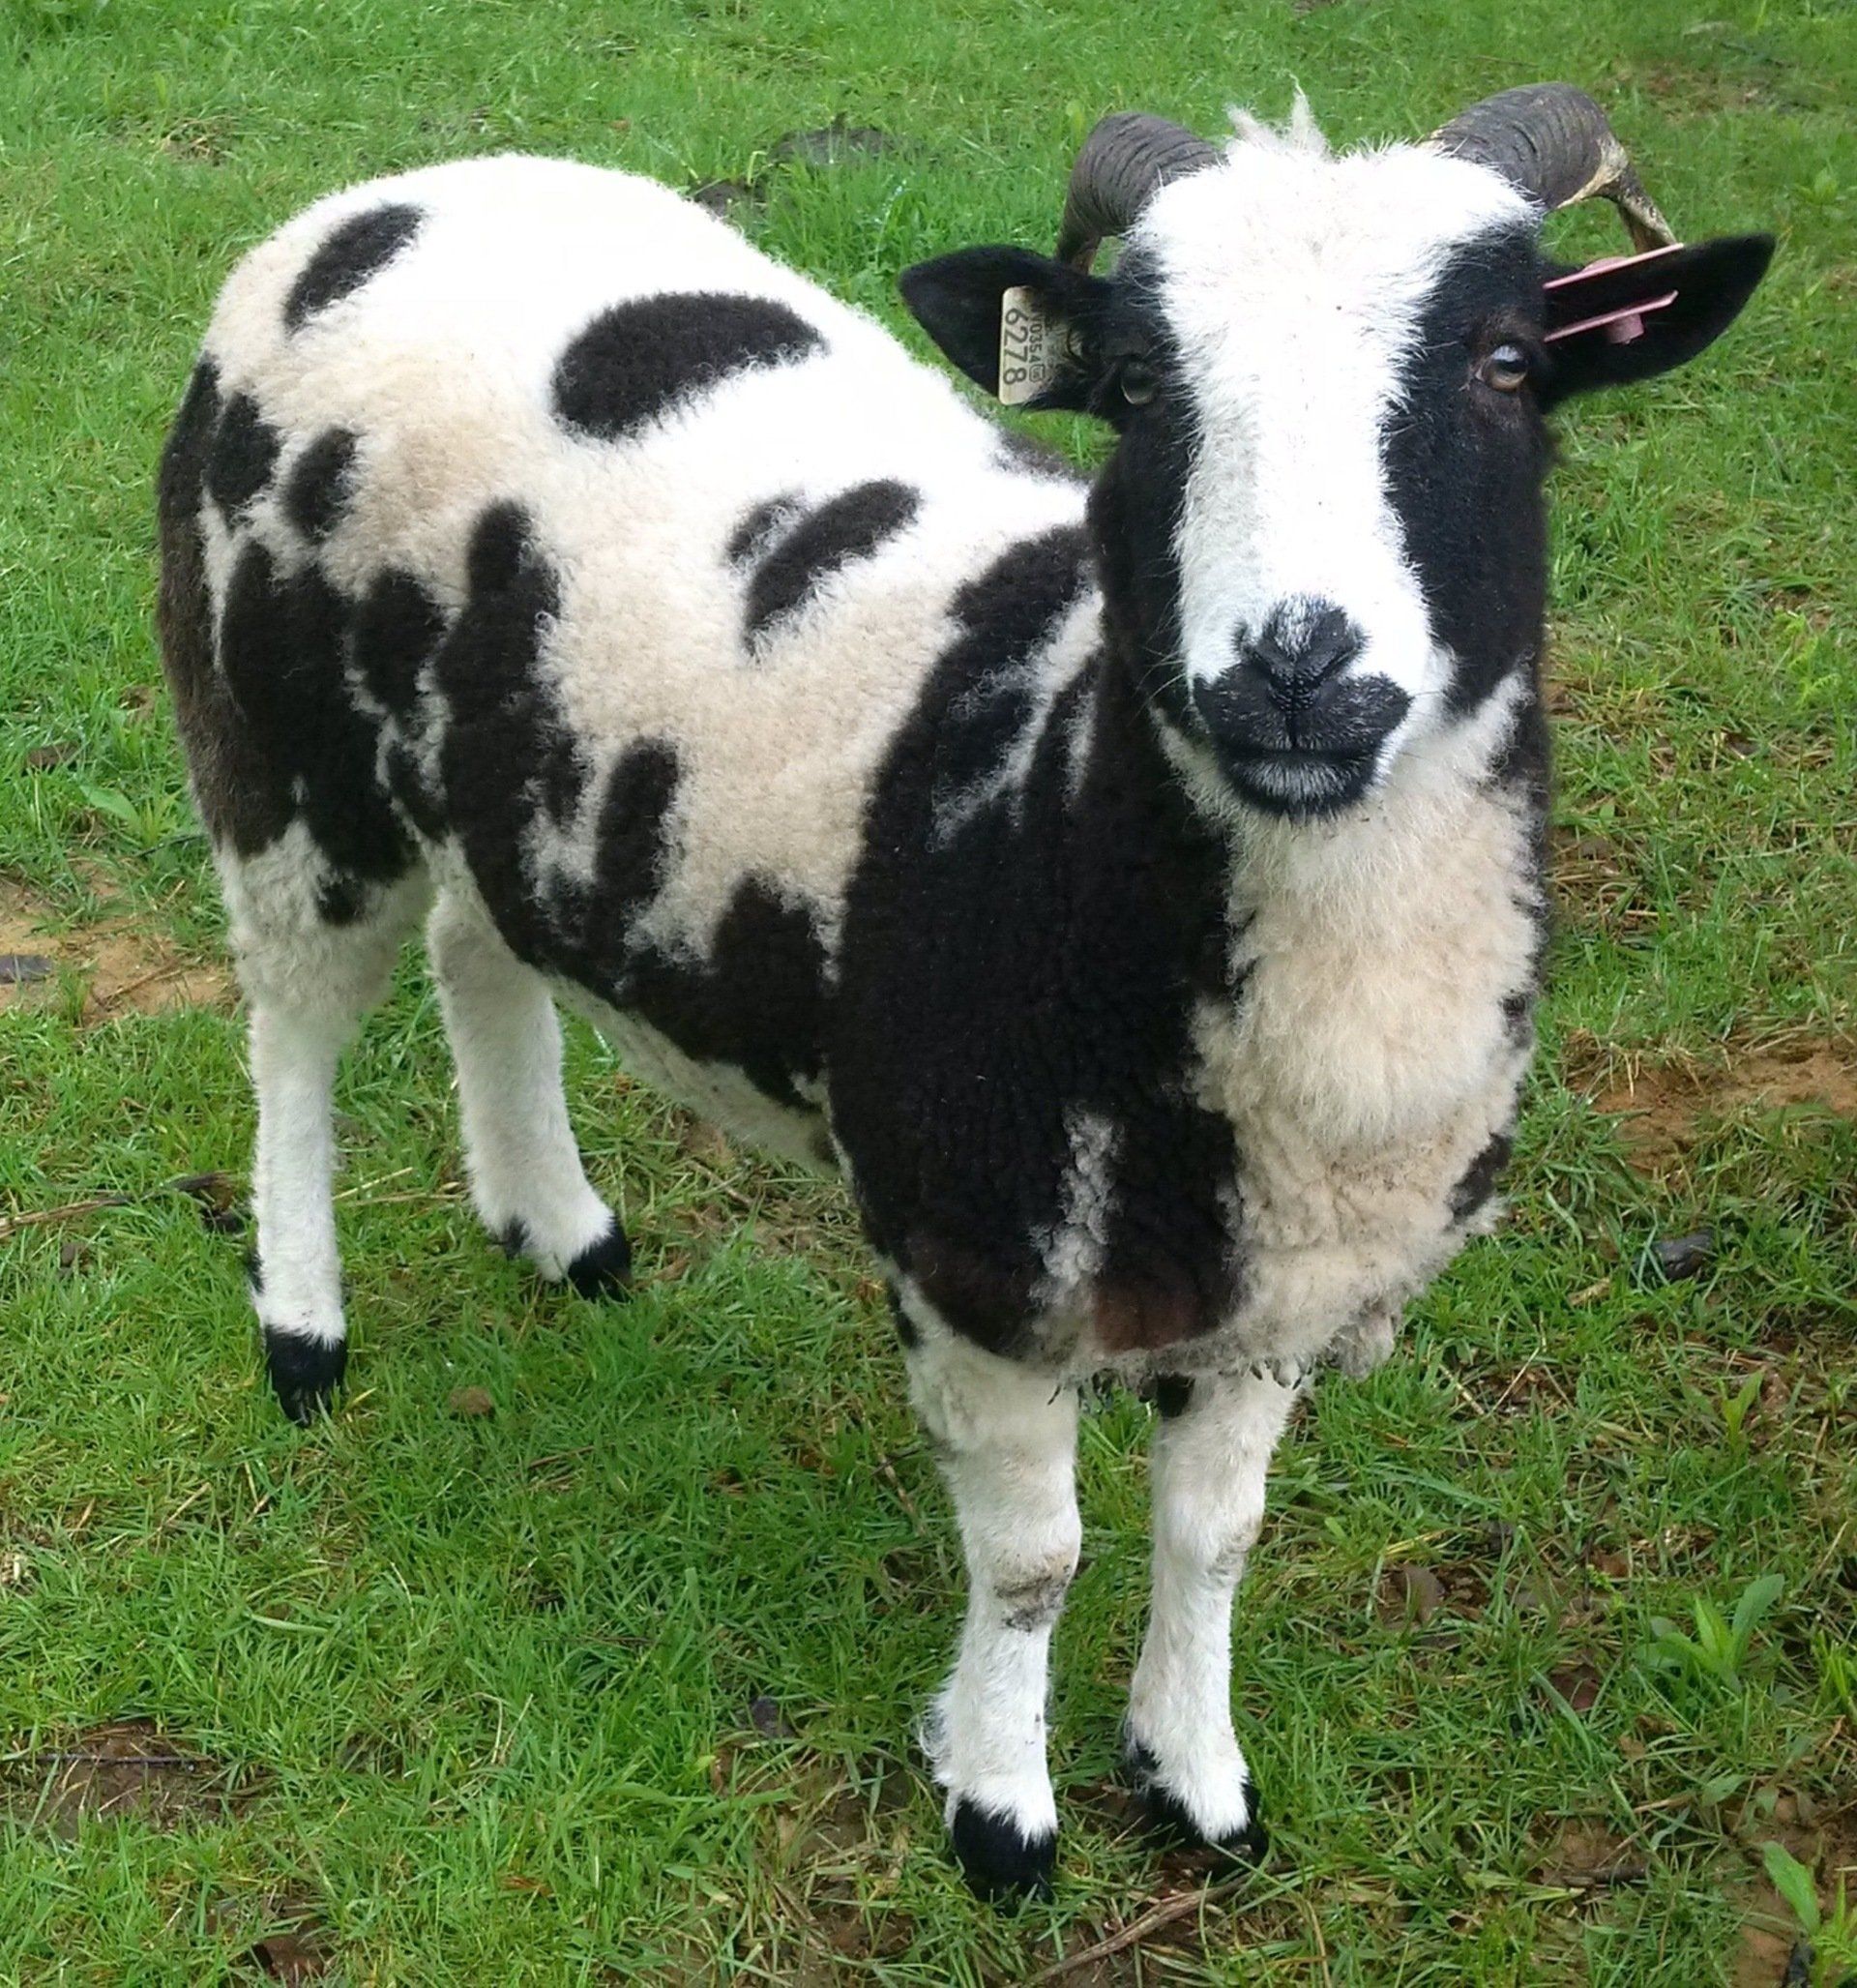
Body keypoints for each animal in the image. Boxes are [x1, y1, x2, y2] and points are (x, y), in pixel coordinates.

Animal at [156, 84, 1771, 1899]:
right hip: (279, 738)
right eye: (1135, 386)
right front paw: (1002, 1807)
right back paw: (304, 1327)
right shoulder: (975, 1266)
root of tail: (377, 201)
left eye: (1510, 363)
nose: (1294, 669)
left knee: (480, 952)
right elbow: (1033, 1565)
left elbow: (1217, 1539)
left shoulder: (1280, 1289)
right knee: (294, 1030)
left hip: (509, 778)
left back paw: (561, 1229)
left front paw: (1197, 1775)